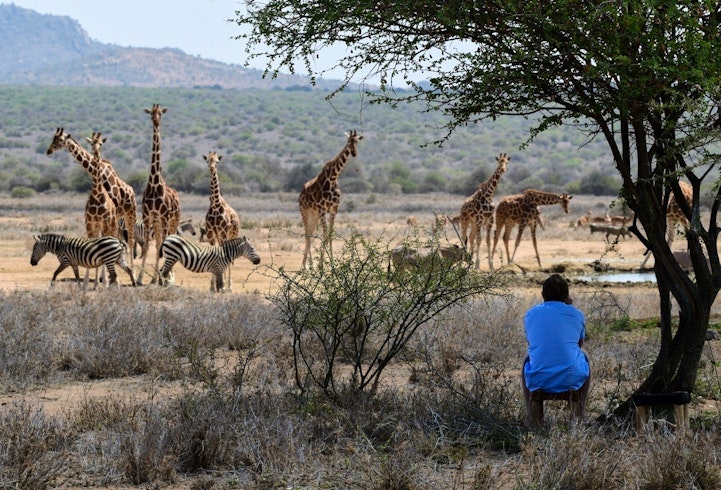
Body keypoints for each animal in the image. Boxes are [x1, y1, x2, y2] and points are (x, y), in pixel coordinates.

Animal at [46, 128, 136, 271]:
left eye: (60, 139)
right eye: (53, 138)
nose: (49, 150)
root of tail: (131, 190)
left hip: (130, 214)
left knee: (131, 240)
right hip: (119, 217)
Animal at [203, 151, 241, 290]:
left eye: (217, 161)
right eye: (207, 160)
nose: (212, 167)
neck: (215, 205)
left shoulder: (223, 232)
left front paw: (223, 286)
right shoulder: (210, 233)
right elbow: (214, 253)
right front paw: (212, 287)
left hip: (232, 234)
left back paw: (229, 286)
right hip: (220, 236)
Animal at [299, 130, 363, 269]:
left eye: (357, 141)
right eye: (348, 141)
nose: (354, 153)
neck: (333, 178)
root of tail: (301, 191)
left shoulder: (334, 208)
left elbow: (330, 235)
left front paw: (332, 264)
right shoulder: (323, 209)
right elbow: (325, 234)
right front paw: (322, 265)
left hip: (314, 213)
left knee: (310, 232)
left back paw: (310, 265)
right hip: (304, 210)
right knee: (307, 233)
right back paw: (305, 266)